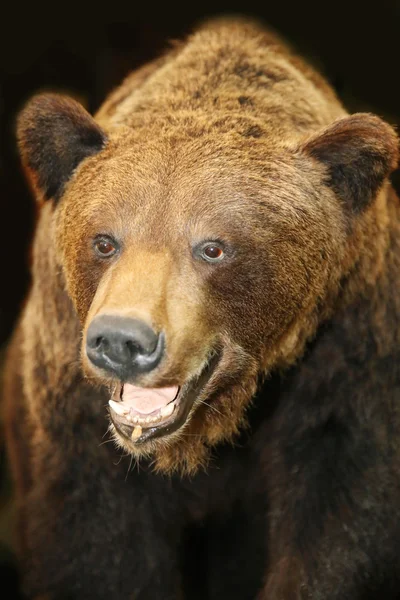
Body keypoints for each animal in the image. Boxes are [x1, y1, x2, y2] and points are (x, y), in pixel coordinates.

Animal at [3, 14, 400, 600]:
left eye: (213, 247)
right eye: (104, 241)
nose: (121, 340)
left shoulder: (349, 367)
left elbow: (342, 527)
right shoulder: (68, 420)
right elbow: (95, 547)